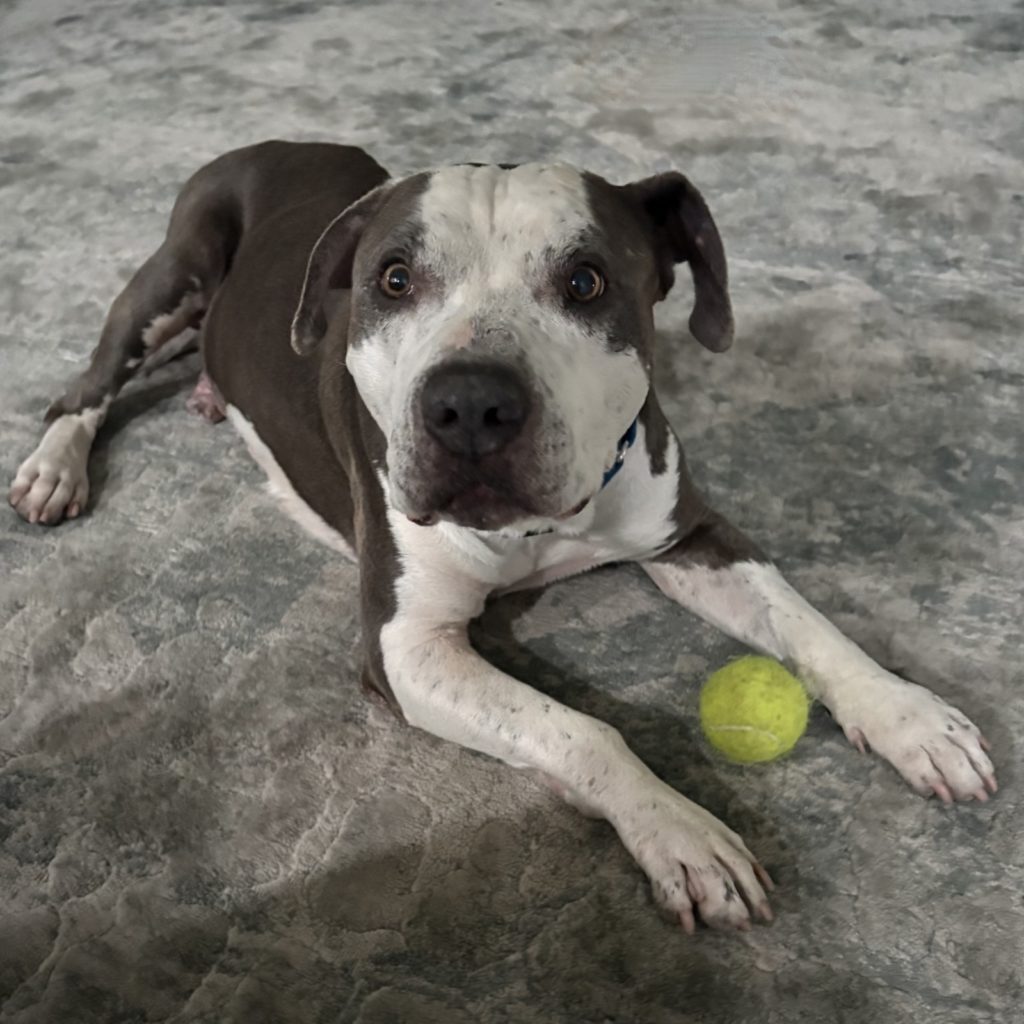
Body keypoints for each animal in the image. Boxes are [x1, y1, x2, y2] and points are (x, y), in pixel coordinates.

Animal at [9, 141, 998, 934]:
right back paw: (55, 466)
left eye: (587, 281)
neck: (536, 524)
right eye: (395, 280)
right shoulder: (406, 646)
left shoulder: (691, 536)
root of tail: (269, 143)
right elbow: (582, 731)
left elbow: (805, 622)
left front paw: (906, 714)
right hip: (170, 275)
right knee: (89, 383)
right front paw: (681, 831)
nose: (470, 405)